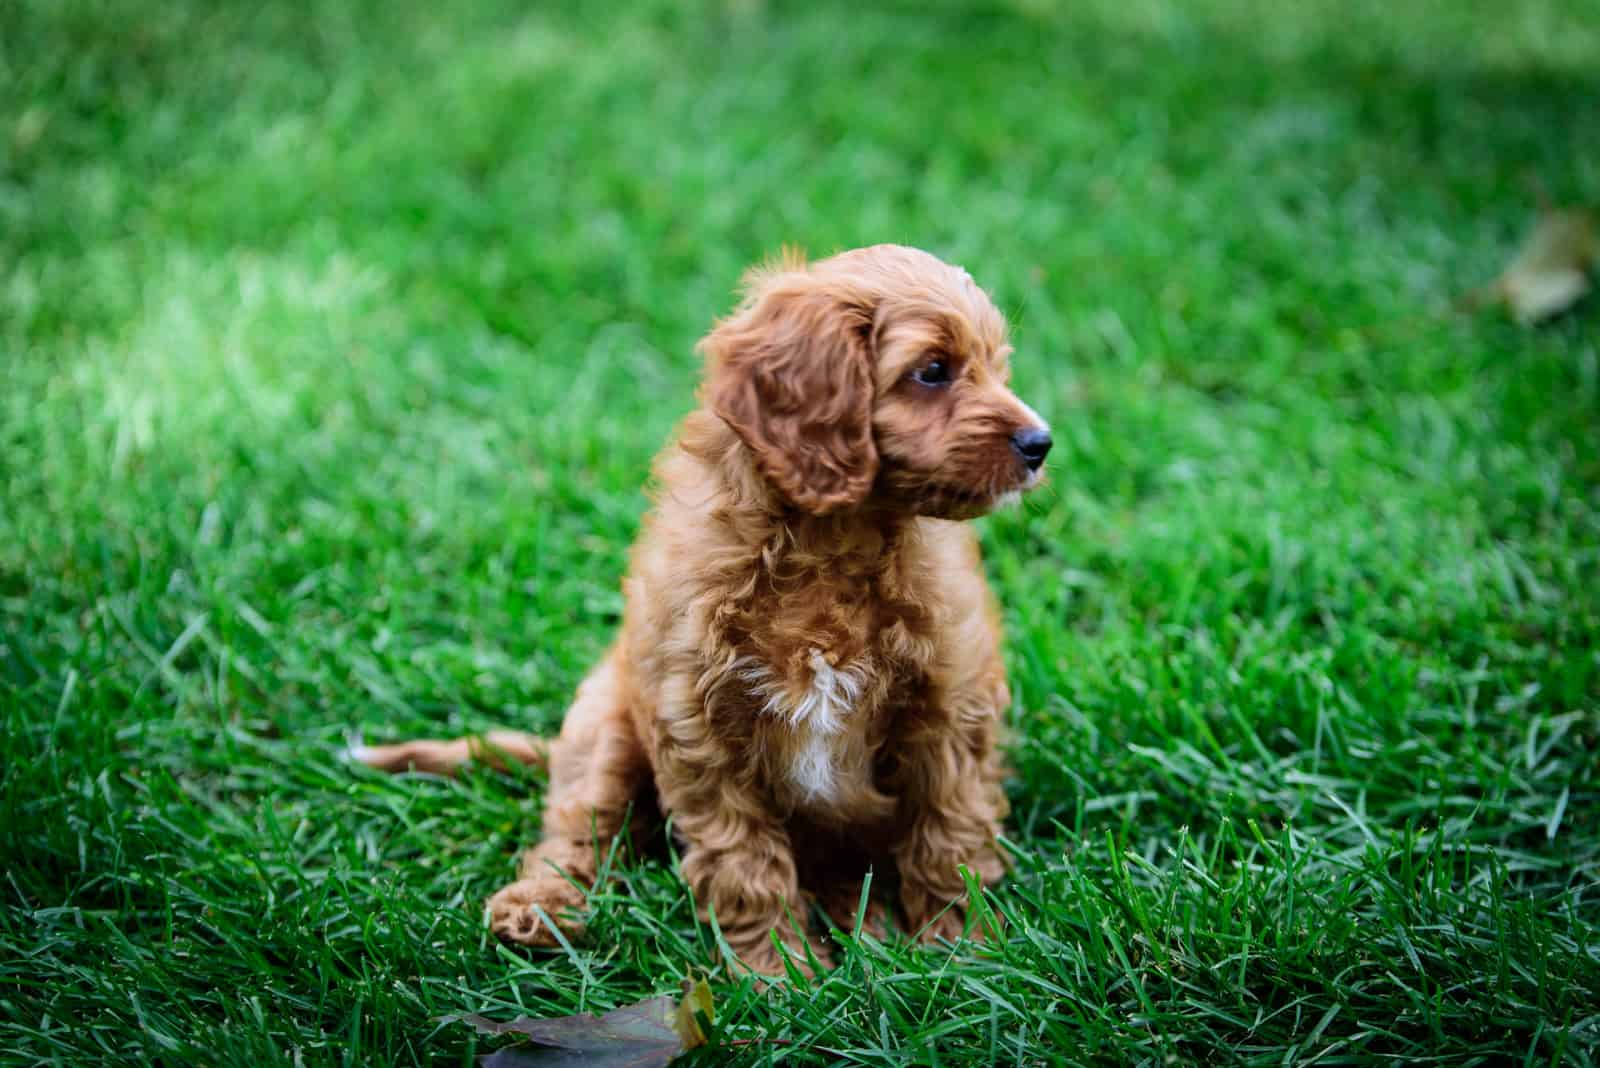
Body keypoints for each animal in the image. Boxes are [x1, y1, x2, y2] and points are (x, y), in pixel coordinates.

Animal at [356, 244, 1049, 978]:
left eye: (996, 364)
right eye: (933, 371)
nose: (1041, 444)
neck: (835, 546)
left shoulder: (950, 711)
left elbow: (949, 835)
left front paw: (965, 953)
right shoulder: (699, 728)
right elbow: (745, 864)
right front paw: (780, 977)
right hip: (604, 727)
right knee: (579, 830)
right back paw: (540, 909)